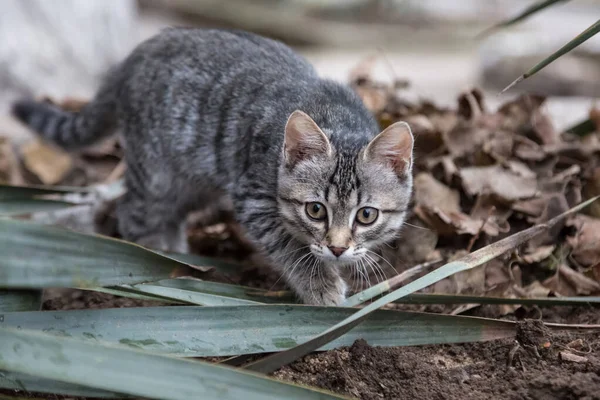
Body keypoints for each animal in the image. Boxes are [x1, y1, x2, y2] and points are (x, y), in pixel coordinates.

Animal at [11, 28, 412, 304]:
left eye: (366, 215)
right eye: (315, 210)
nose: (338, 249)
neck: (337, 118)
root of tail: (132, 57)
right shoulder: (253, 195)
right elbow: (290, 246)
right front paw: (321, 285)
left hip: (198, 179)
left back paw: (178, 255)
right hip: (157, 174)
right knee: (133, 212)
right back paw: (156, 259)